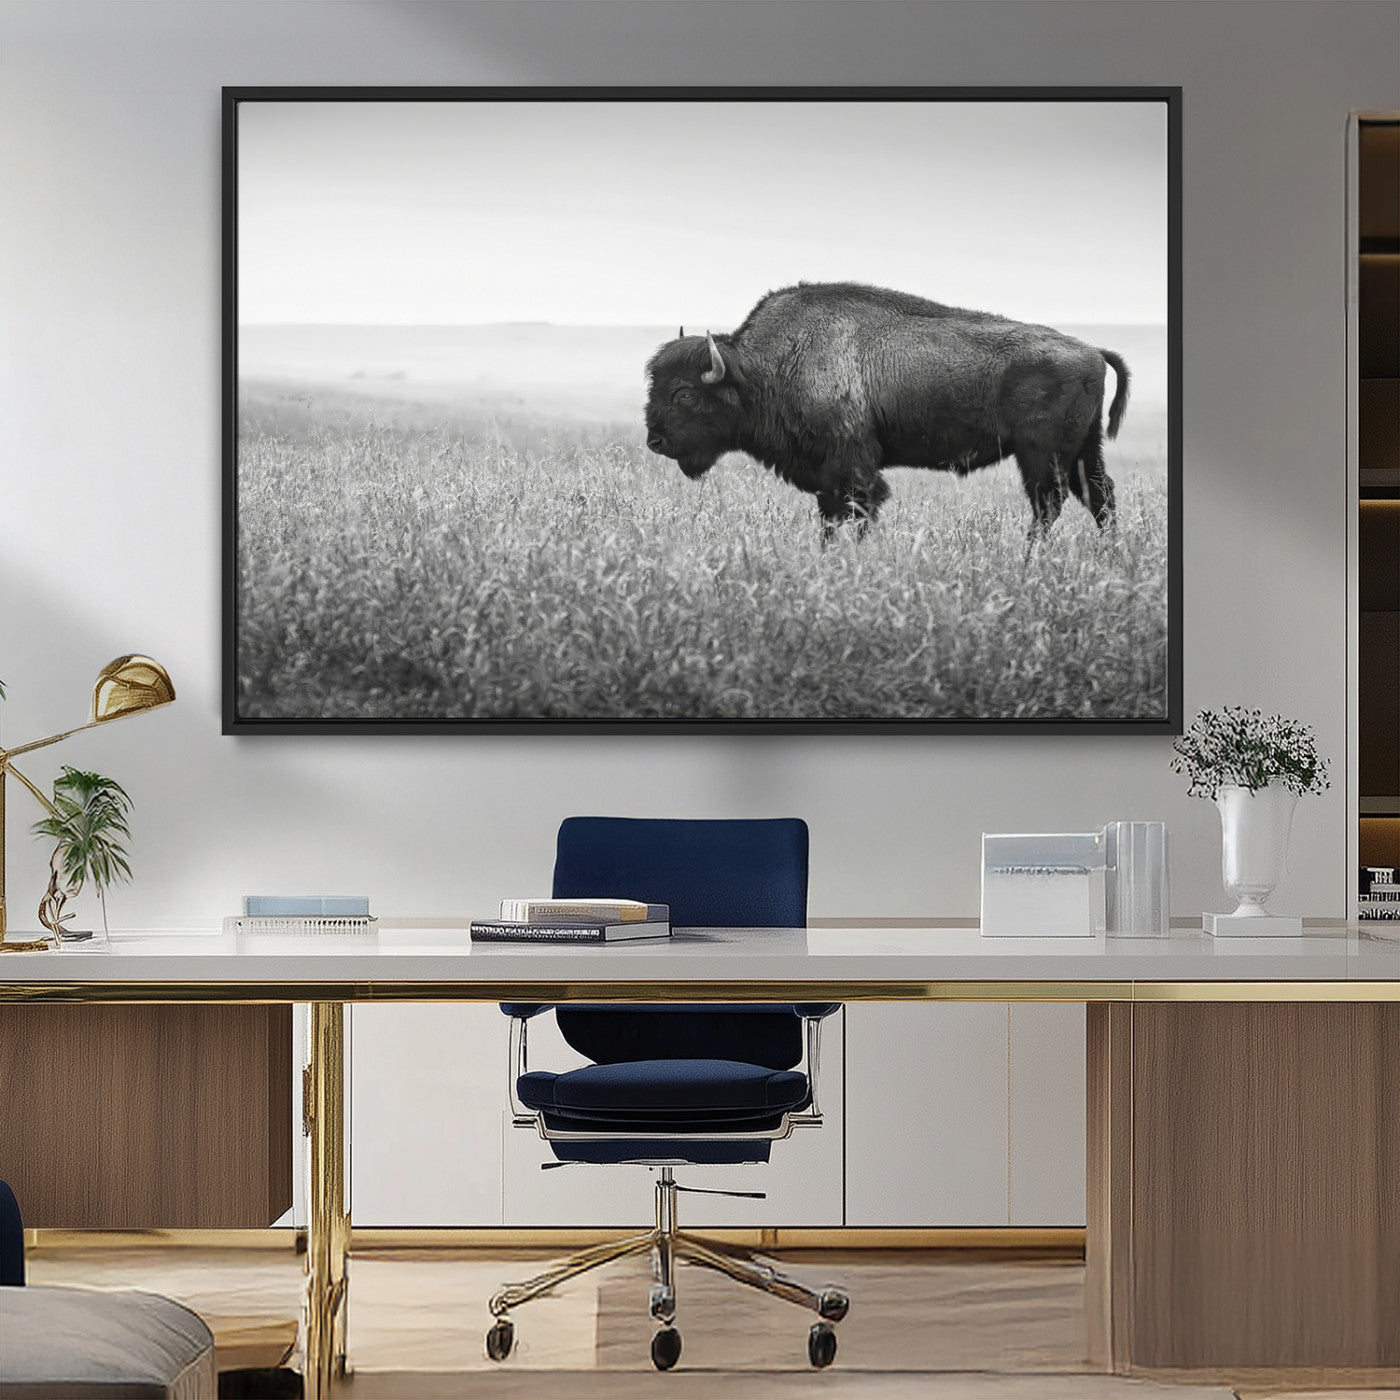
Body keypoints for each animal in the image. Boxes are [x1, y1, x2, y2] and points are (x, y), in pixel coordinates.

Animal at [644, 282, 1130, 539]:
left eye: (685, 393)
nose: (655, 441)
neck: (764, 368)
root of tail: (1092, 350)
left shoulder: (853, 468)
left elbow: (859, 510)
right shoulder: (825, 476)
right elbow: (830, 518)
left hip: (1041, 455)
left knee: (1049, 505)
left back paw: (1030, 559)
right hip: (1083, 451)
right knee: (1099, 497)